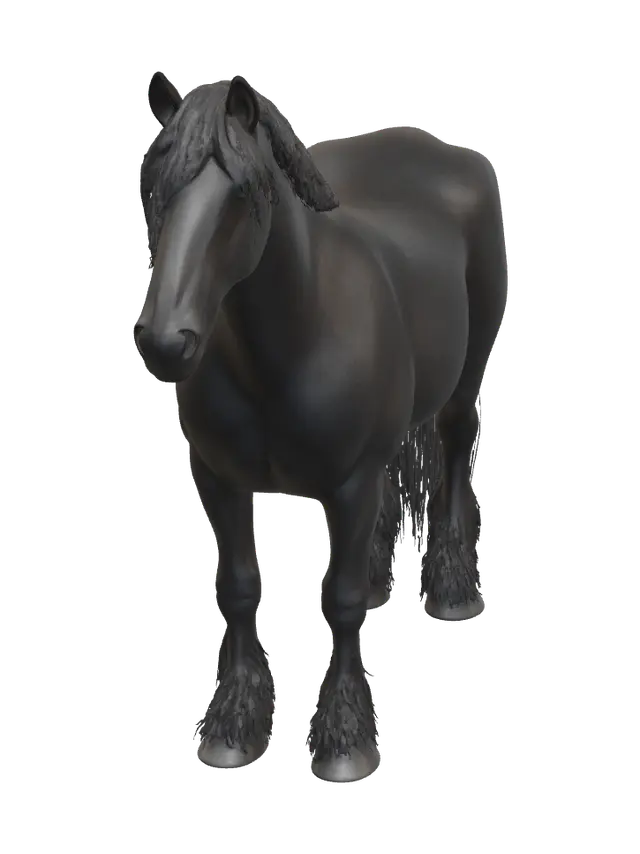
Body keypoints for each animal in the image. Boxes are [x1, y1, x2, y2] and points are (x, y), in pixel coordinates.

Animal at [134, 72, 507, 783]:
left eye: (243, 194)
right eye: (154, 189)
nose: (167, 344)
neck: (290, 348)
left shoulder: (352, 485)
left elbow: (343, 601)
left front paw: (344, 743)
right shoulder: (218, 480)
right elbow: (237, 590)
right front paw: (232, 728)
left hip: (465, 376)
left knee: (454, 452)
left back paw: (452, 592)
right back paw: (390, 575)